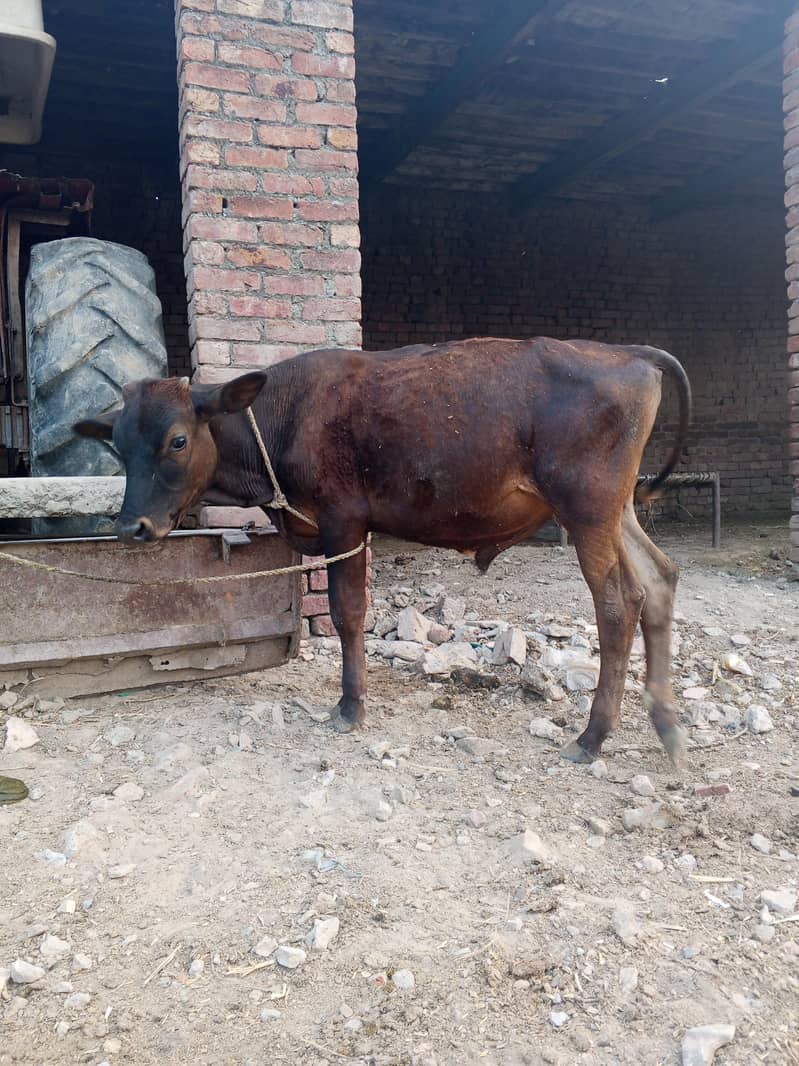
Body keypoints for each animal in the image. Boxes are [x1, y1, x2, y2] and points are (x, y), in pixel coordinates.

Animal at [74, 337, 691, 765]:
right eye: (118, 445)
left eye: (177, 440)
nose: (131, 527)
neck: (283, 418)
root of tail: (626, 352)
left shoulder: (343, 522)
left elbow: (348, 614)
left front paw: (350, 707)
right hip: (618, 512)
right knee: (660, 579)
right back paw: (665, 723)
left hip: (587, 510)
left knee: (618, 604)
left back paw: (593, 736)